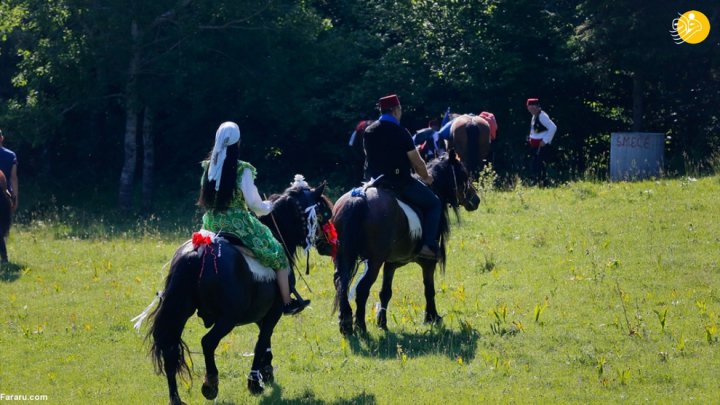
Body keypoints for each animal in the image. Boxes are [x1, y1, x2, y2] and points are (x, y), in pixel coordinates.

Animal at [330, 150, 478, 336]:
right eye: (463, 174)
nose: (476, 199)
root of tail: (358, 199)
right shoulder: (427, 262)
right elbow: (429, 288)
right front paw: (432, 317)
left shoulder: (391, 263)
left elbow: (385, 292)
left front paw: (382, 323)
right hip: (374, 261)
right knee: (362, 289)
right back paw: (361, 327)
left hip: (343, 257)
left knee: (340, 284)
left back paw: (346, 324)